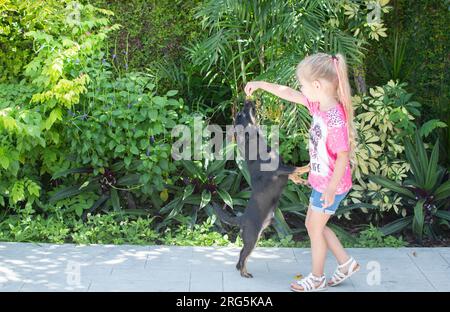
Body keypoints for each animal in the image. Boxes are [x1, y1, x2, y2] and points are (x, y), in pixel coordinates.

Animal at [214, 98, 310, 276]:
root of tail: (242, 218)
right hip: (252, 238)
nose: (247, 99)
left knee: (241, 256)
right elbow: (297, 168)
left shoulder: (283, 170)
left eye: (243, 109)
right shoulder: (280, 169)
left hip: (254, 238)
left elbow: (294, 175)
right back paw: (244, 273)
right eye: (241, 113)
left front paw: (302, 181)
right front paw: (309, 166)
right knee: (242, 256)